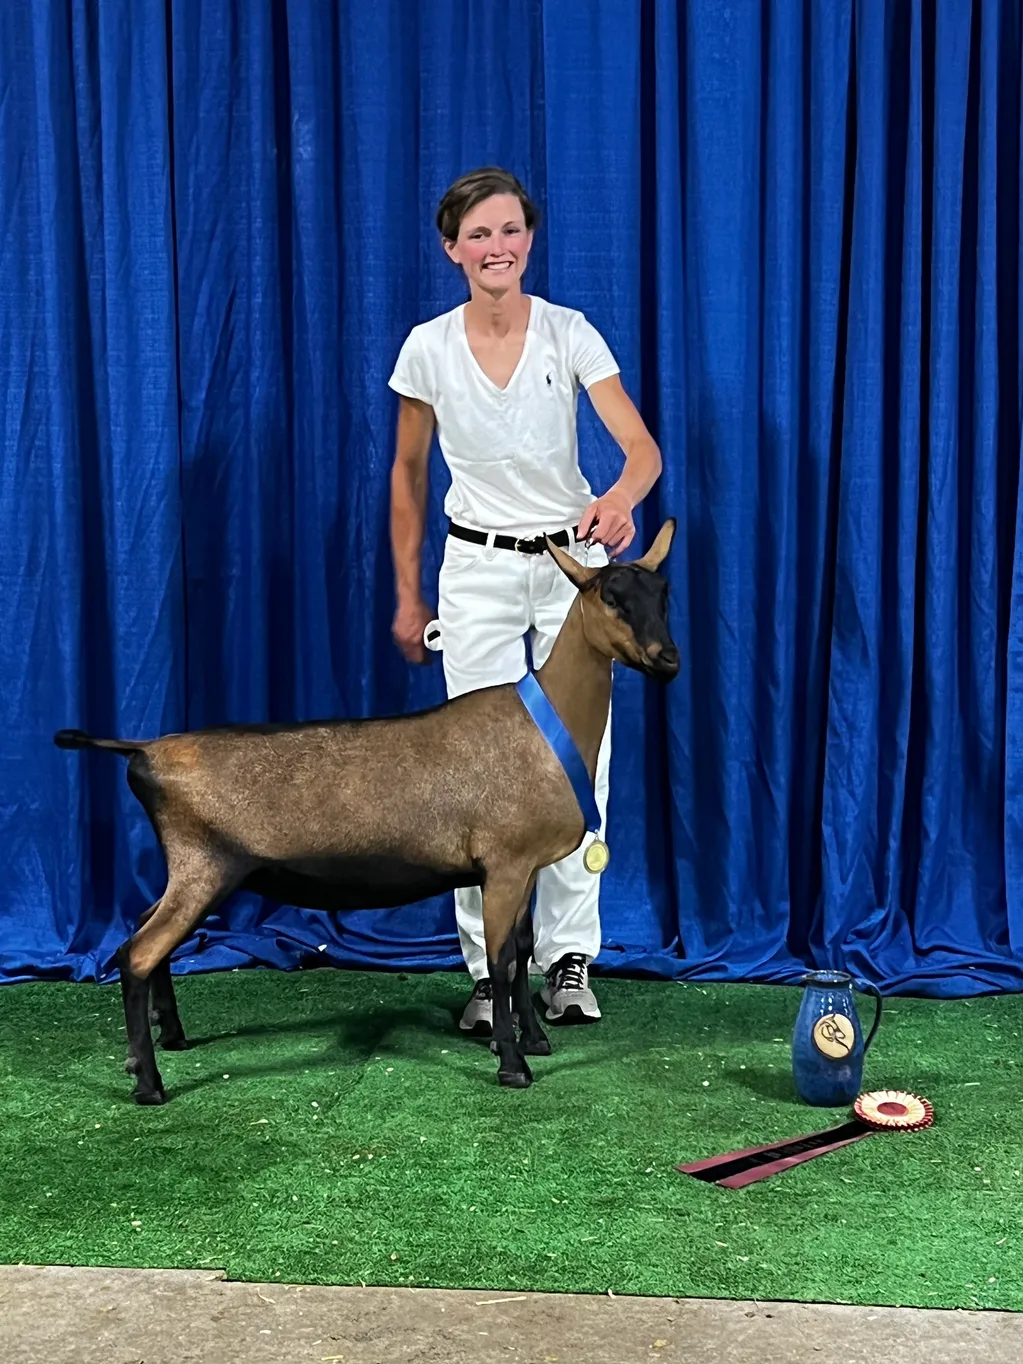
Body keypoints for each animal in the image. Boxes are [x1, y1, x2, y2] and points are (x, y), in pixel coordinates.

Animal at [54, 515, 682, 1102]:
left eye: (663, 593)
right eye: (611, 597)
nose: (667, 658)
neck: (546, 725)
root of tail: (144, 750)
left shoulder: (523, 868)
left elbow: (522, 950)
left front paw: (535, 1040)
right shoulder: (504, 865)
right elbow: (500, 960)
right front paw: (513, 1064)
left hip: (189, 869)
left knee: (141, 931)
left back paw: (174, 1034)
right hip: (205, 866)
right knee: (138, 952)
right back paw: (147, 1081)